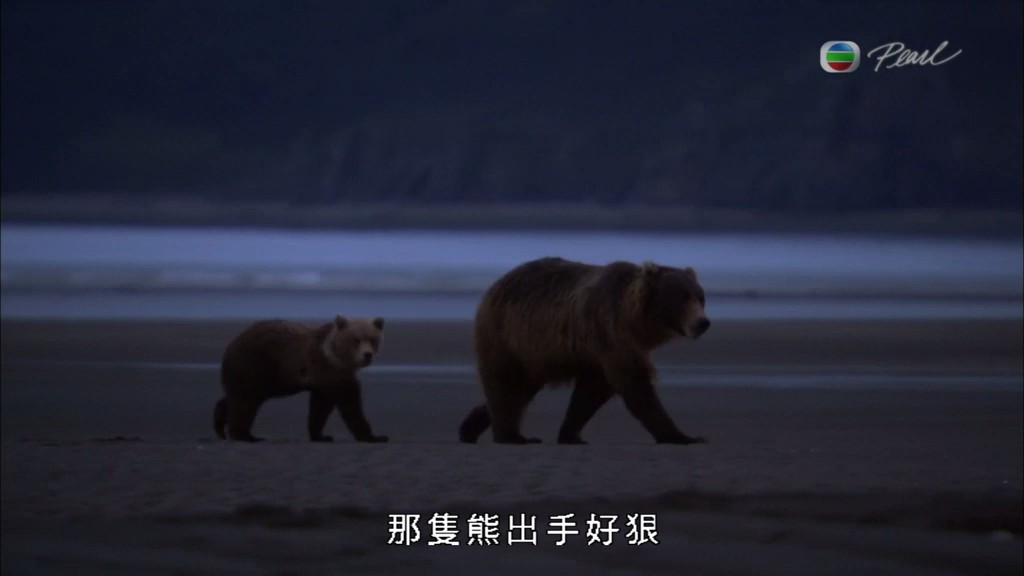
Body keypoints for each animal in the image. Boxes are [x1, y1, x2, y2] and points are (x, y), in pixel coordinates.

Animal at [213, 315, 388, 443]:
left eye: (373, 339)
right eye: (356, 339)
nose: (367, 355)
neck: (335, 358)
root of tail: (230, 344)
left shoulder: (326, 379)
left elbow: (320, 407)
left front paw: (320, 435)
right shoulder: (323, 367)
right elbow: (350, 403)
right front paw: (374, 436)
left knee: (236, 397)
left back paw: (220, 426)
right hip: (255, 365)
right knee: (245, 401)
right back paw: (245, 436)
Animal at [458, 257, 710, 445]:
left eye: (701, 297)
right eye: (682, 297)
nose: (702, 323)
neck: (636, 321)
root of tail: (494, 285)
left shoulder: (596, 352)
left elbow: (591, 392)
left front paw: (571, 434)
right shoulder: (609, 330)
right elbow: (633, 383)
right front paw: (682, 436)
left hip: (533, 353)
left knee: (519, 389)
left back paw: (470, 427)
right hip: (507, 335)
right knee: (505, 383)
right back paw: (511, 436)